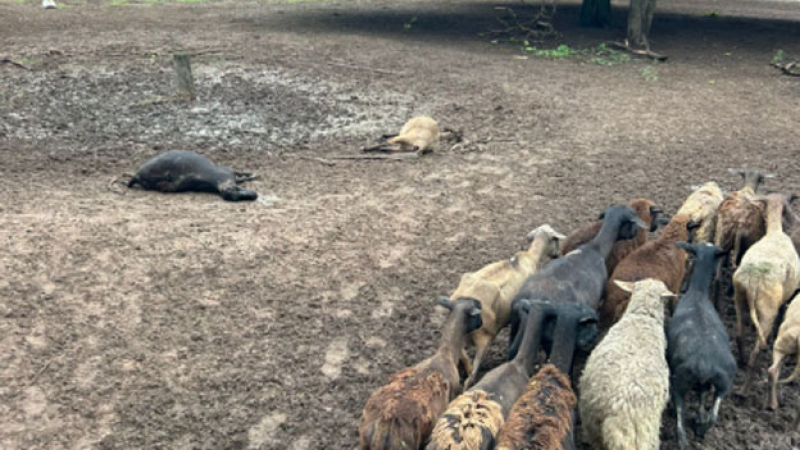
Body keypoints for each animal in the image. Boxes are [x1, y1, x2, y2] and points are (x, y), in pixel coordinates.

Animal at [666, 242, 736, 450]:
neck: (697, 292)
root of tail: (704, 365)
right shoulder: (707, 383)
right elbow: (702, 396)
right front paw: (700, 416)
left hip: (680, 380)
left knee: (680, 412)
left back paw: (683, 439)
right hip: (724, 381)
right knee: (714, 412)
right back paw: (702, 427)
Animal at [732, 193, 800, 369]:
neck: (775, 231)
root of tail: (752, 282)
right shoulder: (787, 293)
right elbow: (783, 311)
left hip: (739, 299)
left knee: (739, 335)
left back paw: (742, 361)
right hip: (766, 311)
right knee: (756, 348)